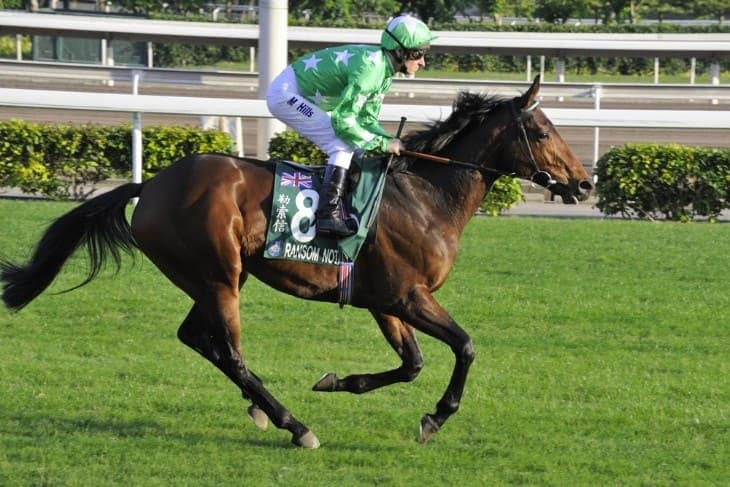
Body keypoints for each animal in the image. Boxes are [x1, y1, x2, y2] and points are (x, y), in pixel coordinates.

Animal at [0, 76, 592, 449]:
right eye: (542, 132)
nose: (584, 184)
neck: (426, 195)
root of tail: (152, 185)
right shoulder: (408, 295)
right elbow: (464, 347)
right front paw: (436, 418)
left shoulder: (385, 301)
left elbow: (412, 363)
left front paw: (338, 381)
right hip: (218, 276)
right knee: (228, 351)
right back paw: (293, 424)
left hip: (213, 279)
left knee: (198, 339)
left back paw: (260, 407)